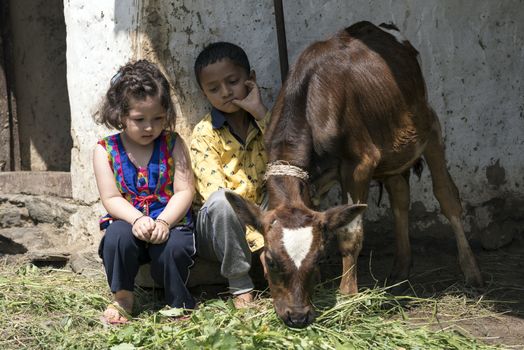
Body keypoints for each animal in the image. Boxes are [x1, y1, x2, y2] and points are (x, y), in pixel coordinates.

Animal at [227, 21, 482, 328]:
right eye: (271, 260)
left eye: (316, 258)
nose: (297, 316)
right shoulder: (311, 182)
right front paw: (321, 284)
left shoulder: (360, 164)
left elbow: (350, 234)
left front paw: (347, 295)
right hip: (394, 147)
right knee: (400, 198)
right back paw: (401, 267)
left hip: (429, 127)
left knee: (447, 198)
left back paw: (471, 271)